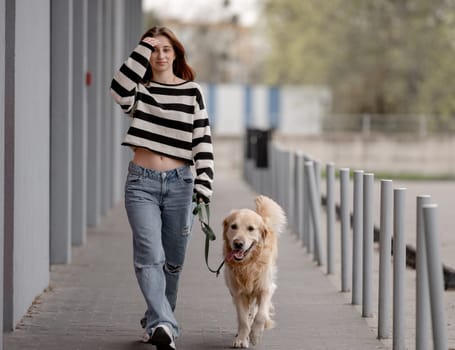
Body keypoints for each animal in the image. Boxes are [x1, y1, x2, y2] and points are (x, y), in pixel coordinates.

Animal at [223, 194, 286, 348]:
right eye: (233, 226)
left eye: (251, 228)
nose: (238, 243)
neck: (248, 264)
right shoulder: (238, 293)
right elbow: (243, 319)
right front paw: (242, 339)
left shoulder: (266, 288)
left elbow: (261, 315)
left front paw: (255, 335)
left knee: (255, 311)